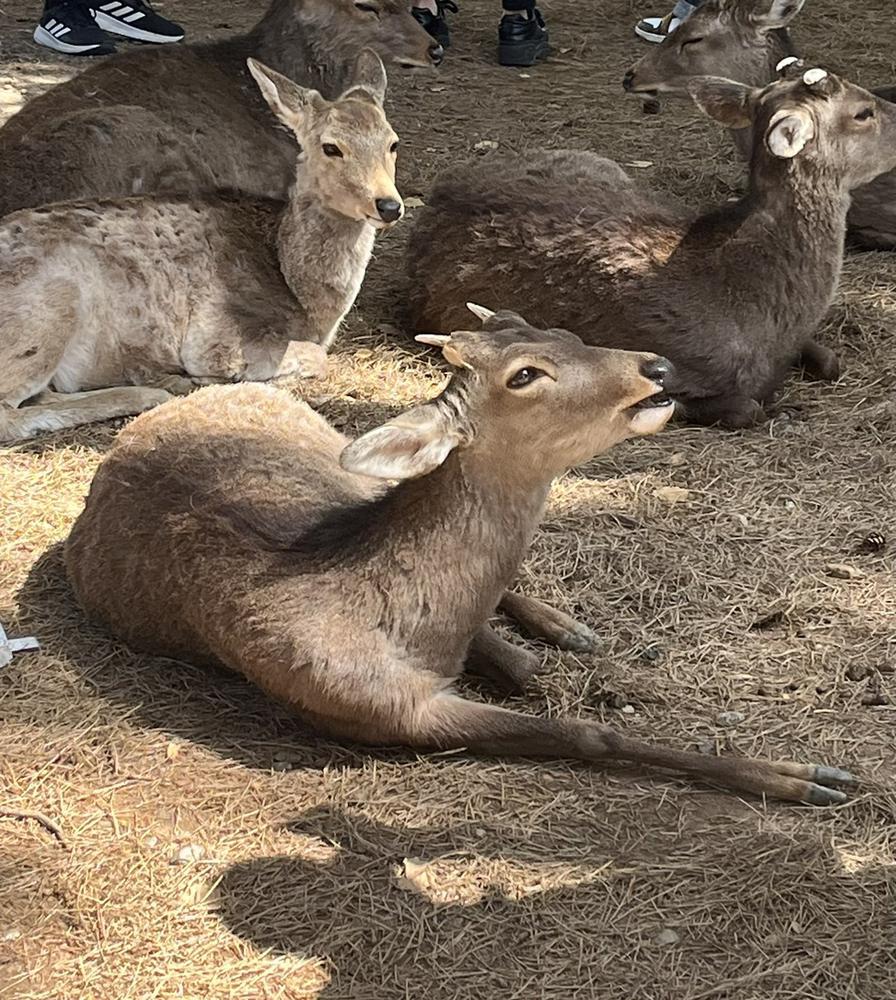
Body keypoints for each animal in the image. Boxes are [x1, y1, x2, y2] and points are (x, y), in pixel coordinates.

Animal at [0, 52, 403, 443]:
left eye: (392, 143)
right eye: (331, 147)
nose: (389, 205)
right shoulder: (215, 336)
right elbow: (317, 358)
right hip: (49, 311)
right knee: (9, 413)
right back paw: (155, 390)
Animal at [64, 307, 856, 806]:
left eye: (562, 330)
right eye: (526, 375)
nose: (656, 366)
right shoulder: (392, 713)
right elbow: (587, 732)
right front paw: (802, 775)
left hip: (334, 453)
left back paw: (563, 626)